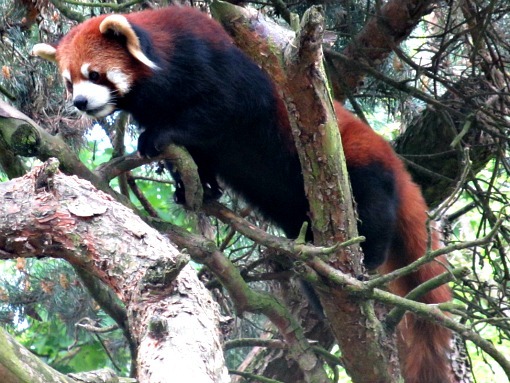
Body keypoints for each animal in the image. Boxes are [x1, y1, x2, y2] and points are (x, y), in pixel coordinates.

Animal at [32, 6, 450, 383]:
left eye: (94, 74)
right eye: (68, 82)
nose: (79, 103)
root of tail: (394, 160)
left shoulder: (214, 64)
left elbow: (224, 108)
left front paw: (158, 136)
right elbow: (199, 156)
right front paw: (197, 188)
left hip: (358, 162)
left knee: (374, 206)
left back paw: (369, 254)